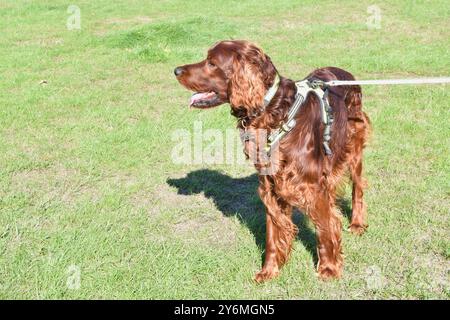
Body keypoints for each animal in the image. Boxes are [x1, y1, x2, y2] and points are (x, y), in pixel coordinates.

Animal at [174, 40, 370, 282]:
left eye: (212, 63)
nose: (176, 71)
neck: (276, 114)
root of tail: (347, 74)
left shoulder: (313, 187)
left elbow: (325, 228)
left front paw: (329, 268)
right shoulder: (271, 186)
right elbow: (273, 235)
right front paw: (268, 271)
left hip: (353, 147)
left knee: (358, 187)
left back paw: (357, 223)